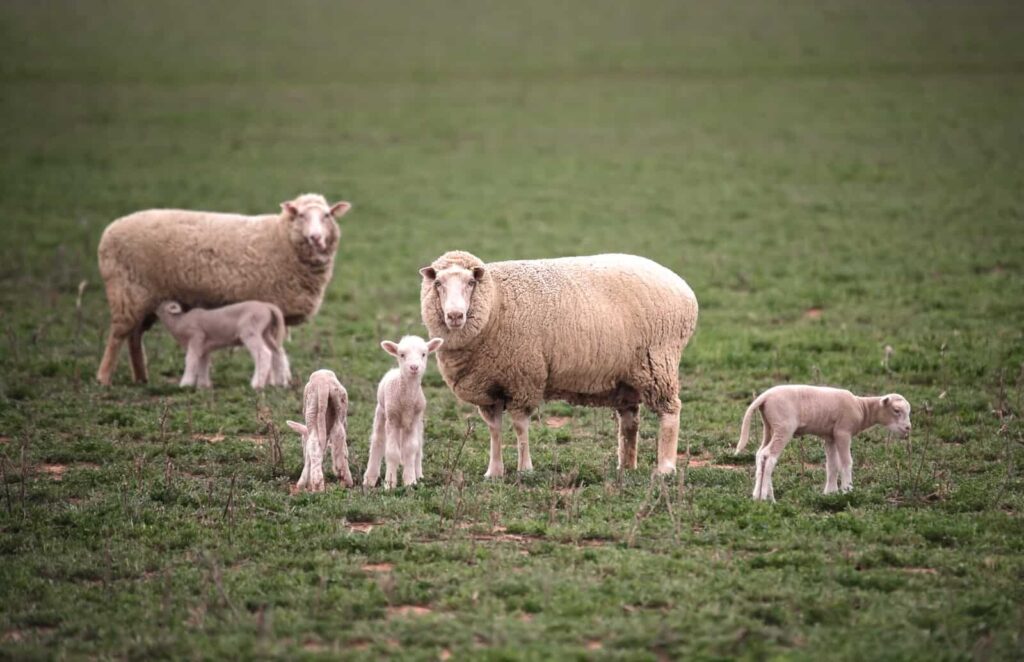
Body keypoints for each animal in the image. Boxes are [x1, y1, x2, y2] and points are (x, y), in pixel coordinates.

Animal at [154, 300, 290, 389]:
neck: (178, 322)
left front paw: (185, 384)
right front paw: (203, 385)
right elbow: (203, 362)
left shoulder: (196, 337)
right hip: (266, 332)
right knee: (277, 352)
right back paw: (280, 382)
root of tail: (266, 306)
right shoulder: (204, 346)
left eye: (160, 305)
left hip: (250, 331)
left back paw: (257, 384)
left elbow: (190, 359)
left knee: (264, 353)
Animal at [363, 336, 444, 489]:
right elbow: (391, 452)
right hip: (382, 413)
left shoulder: (413, 420)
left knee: (418, 446)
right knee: (377, 441)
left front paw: (410, 481)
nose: (414, 367)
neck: (406, 403)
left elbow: (411, 449)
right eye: (402, 355)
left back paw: (419, 474)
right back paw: (370, 478)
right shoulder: (392, 420)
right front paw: (389, 483)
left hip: (418, 424)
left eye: (424, 354)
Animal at [419, 250, 698, 478]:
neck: (495, 303)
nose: (455, 316)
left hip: (658, 362)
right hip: (627, 375)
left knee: (669, 412)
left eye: (471, 283)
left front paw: (525, 469)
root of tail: (683, 286)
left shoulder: (523, 378)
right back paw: (626, 467)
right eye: (438, 283)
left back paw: (665, 469)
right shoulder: (489, 389)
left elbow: (520, 426)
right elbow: (495, 430)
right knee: (630, 420)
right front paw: (494, 472)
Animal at [734, 385, 912, 502]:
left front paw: (830, 493)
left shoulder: (830, 437)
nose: (908, 428)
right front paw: (848, 491)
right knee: (769, 456)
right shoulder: (843, 432)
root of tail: (764, 397)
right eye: (896, 410)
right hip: (784, 426)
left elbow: (832, 465)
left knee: (760, 455)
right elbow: (846, 462)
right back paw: (765, 497)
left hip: (770, 426)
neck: (862, 408)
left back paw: (760, 495)